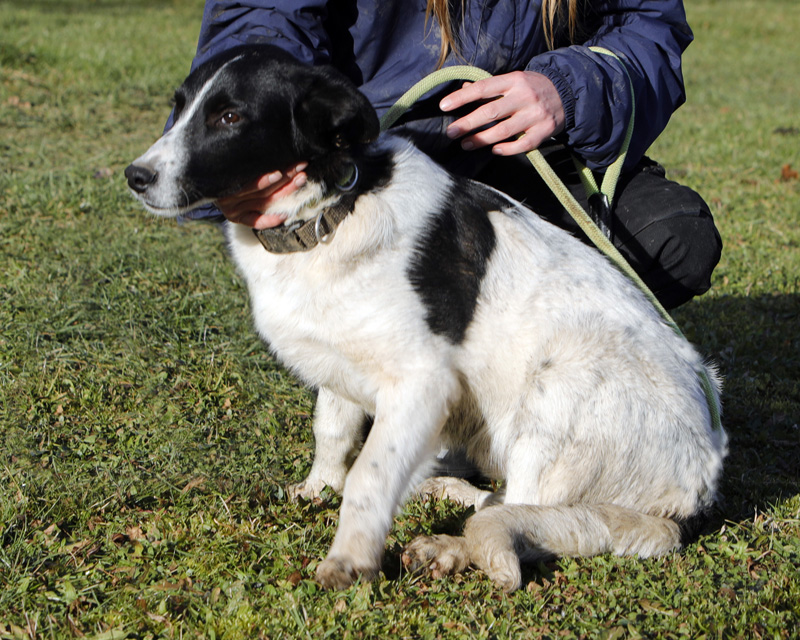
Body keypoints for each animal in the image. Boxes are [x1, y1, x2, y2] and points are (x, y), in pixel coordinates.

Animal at [126, 45, 727, 592]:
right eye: (178, 107)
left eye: (229, 117)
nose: (135, 176)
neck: (332, 214)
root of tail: (698, 485)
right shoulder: (339, 360)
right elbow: (332, 433)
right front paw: (318, 489)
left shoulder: (421, 384)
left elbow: (369, 473)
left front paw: (350, 559)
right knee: (498, 503)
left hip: (554, 397)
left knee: (523, 517)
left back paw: (450, 546)